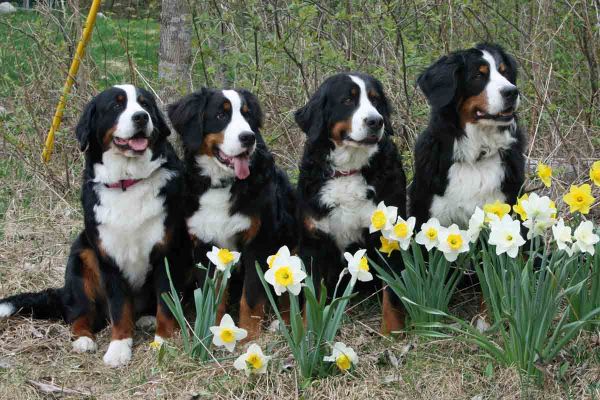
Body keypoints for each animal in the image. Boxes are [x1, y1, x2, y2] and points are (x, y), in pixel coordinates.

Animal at [0, 86, 190, 368]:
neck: (127, 182)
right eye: (116, 106)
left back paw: (146, 319)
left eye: (145, 104)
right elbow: (120, 309)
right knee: (80, 314)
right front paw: (119, 348)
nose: (141, 117)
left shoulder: (167, 252)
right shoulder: (108, 256)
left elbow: (166, 302)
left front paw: (163, 341)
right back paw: (83, 340)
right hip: (82, 255)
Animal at [166, 86, 298, 340]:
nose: (249, 137)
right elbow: (213, 297)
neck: (221, 184)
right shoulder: (205, 245)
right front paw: (213, 333)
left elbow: (252, 296)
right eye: (221, 115)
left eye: (247, 115)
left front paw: (249, 337)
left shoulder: (258, 241)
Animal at [296, 72, 408, 334]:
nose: (376, 121)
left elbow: (392, 292)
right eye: (347, 100)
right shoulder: (313, 242)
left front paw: (392, 332)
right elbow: (311, 296)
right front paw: (308, 332)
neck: (348, 171)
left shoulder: (386, 235)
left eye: (376, 100)